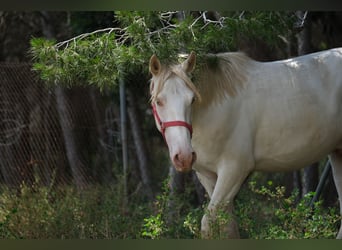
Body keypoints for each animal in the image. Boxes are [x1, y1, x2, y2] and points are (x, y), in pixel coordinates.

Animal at [148, 48, 342, 238]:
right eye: (159, 101)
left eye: (193, 99)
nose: (184, 156)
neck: (216, 109)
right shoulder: (208, 176)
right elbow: (228, 226)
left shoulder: (235, 170)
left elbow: (209, 223)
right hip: (337, 154)